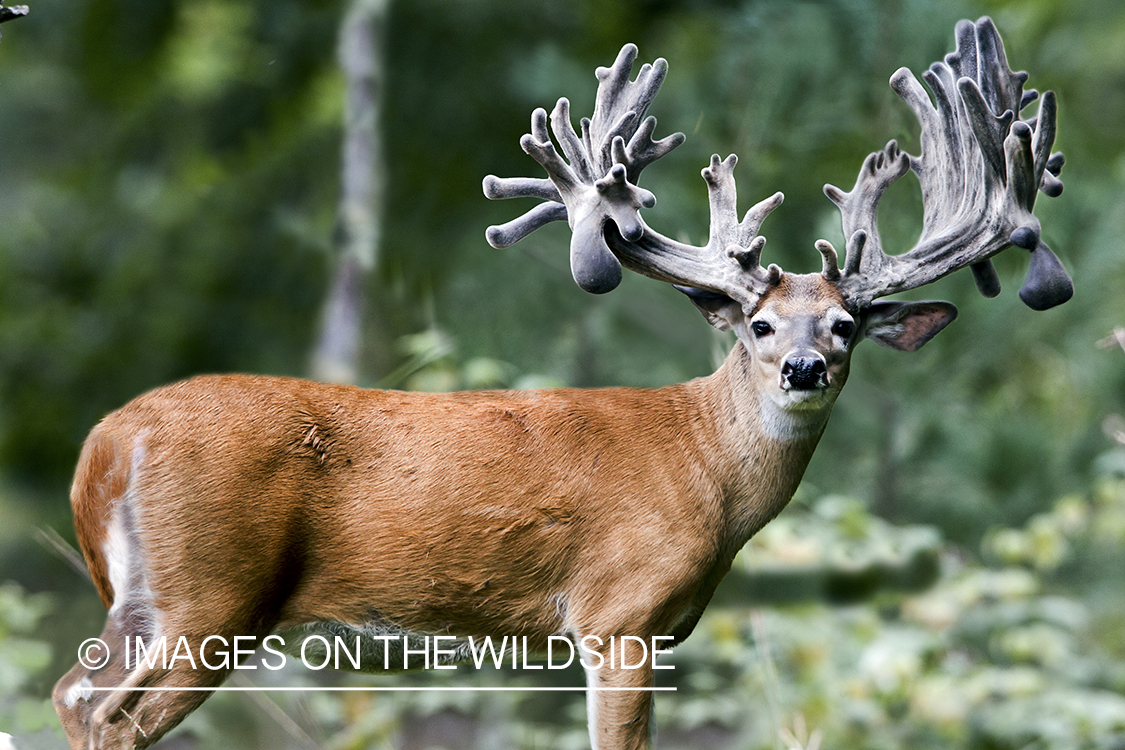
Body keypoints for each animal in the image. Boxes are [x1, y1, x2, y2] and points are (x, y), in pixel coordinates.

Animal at [54, 16, 1071, 750]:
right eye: (758, 323)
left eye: (846, 324)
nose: (803, 366)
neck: (703, 468)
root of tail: (103, 444)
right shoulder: (617, 612)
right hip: (206, 592)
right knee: (104, 712)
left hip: (149, 597)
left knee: (72, 693)